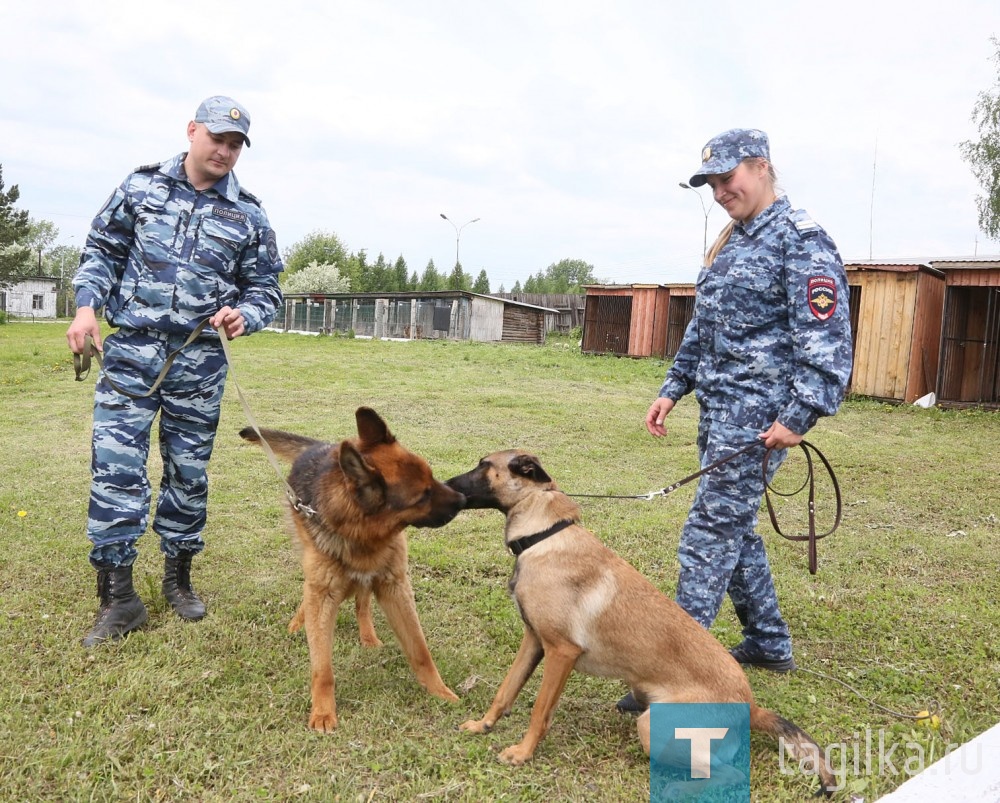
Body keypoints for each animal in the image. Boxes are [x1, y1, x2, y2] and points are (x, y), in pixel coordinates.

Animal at [240, 412, 462, 732]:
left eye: (432, 476)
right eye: (423, 496)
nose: (464, 498)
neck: (361, 533)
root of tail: (321, 447)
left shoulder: (395, 587)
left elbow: (420, 651)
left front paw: (439, 691)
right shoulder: (324, 594)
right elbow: (322, 667)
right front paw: (322, 711)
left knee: (362, 603)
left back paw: (367, 635)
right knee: (311, 591)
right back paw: (299, 621)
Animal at [446, 450, 836, 796]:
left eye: (483, 465)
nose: (445, 485)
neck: (544, 534)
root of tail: (752, 707)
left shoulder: (560, 652)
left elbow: (540, 711)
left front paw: (523, 753)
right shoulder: (534, 640)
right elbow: (505, 690)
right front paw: (483, 724)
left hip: (652, 726)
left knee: (729, 773)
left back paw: (679, 788)